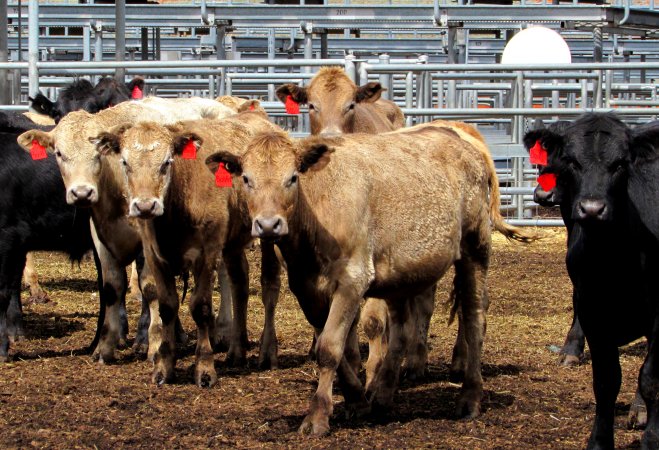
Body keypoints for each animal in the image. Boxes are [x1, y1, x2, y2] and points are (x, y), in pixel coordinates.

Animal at [209, 124, 532, 436]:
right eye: (246, 178)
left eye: (292, 178)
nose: (268, 225)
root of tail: (467, 145)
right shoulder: (305, 288)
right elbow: (333, 346)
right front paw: (357, 401)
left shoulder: (352, 280)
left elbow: (330, 347)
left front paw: (317, 417)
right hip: (403, 274)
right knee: (401, 331)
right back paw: (383, 396)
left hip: (475, 248)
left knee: (475, 318)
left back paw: (470, 398)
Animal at [524, 111, 659, 446]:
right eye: (570, 161)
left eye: (621, 163)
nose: (592, 209)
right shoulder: (592, 308)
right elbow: (606, 382)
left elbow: (651, 377)